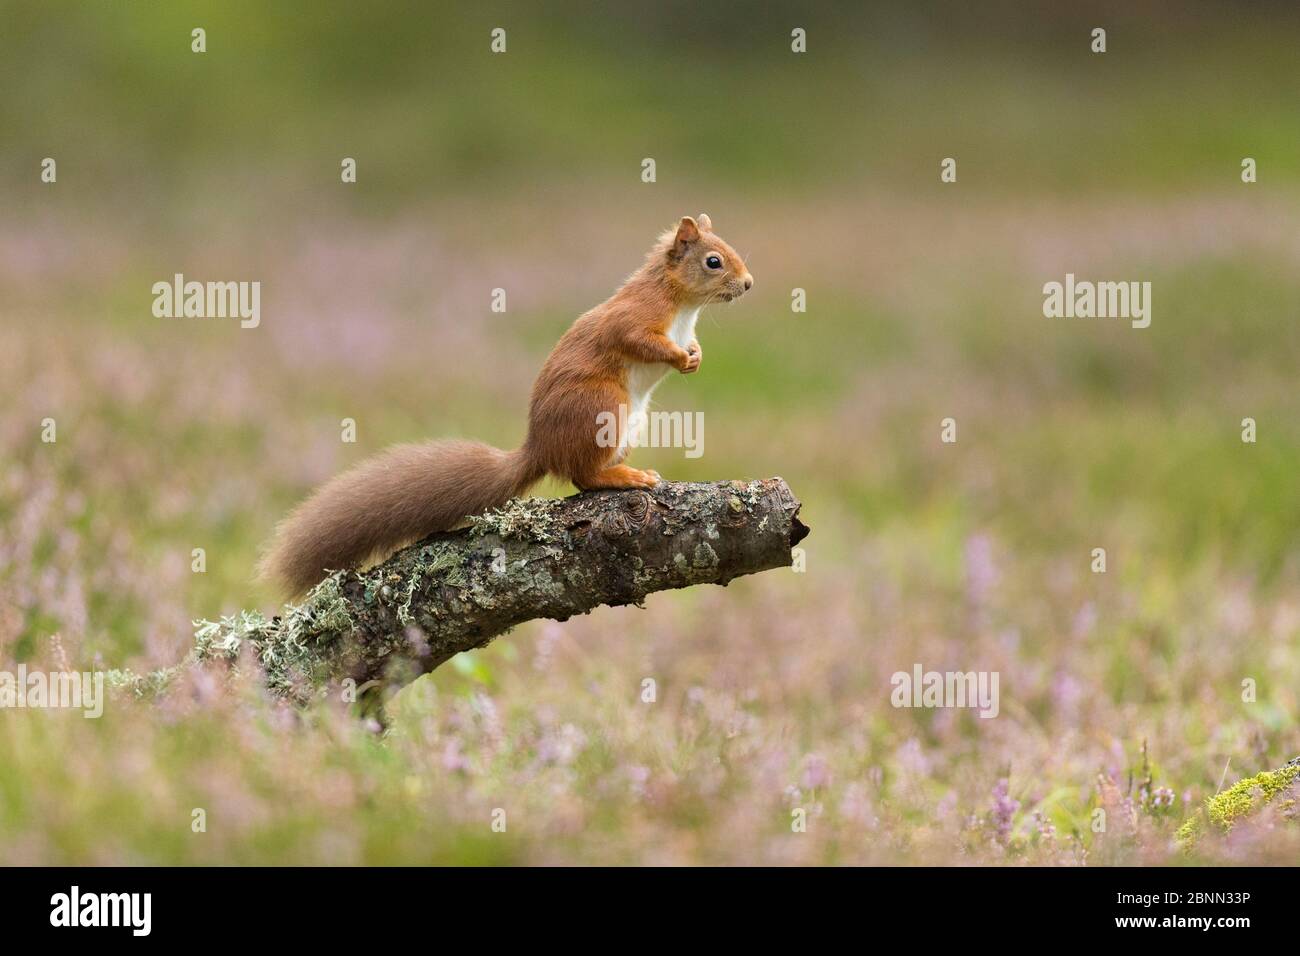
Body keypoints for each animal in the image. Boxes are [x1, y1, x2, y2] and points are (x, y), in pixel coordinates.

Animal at [258, 217, 754, 598]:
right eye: (713, 261)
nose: (749, 283)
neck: (681, 305)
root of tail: (541, 448)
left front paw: (695, 356)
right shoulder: (633, 317)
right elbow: (638, 340)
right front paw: (678, 356)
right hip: (604, 406)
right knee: (583, 475)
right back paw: (624, 477)